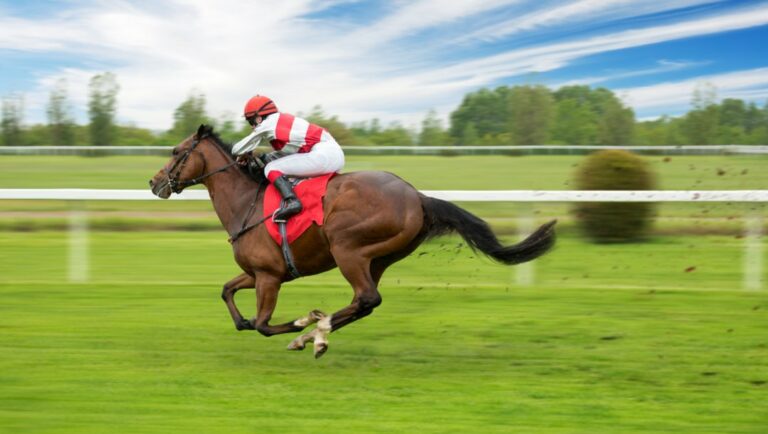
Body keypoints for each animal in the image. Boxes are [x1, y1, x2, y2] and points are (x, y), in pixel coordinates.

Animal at [149, 125, 556, 358]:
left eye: (176, 152)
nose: (154, 182)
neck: (245, 202)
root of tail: (417, 196)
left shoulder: (269, 276)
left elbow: (263, 324)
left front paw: (299, 325)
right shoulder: (259, 272)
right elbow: (228, 294)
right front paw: (283, 326)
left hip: (348, 249)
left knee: (366, 298)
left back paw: (314, 332)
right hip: (379, 258)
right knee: (365, 302)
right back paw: (318, 333)